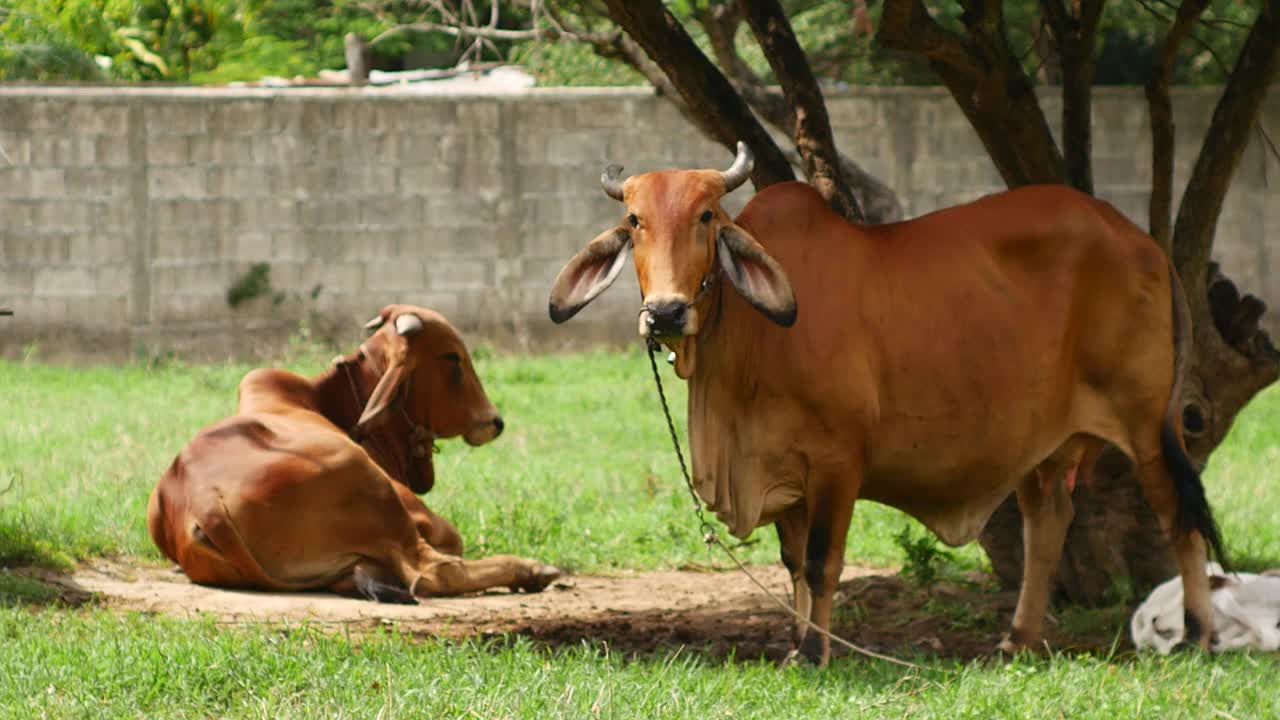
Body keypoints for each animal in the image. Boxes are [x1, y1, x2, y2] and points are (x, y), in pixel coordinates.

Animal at [148, 302, 560, 599]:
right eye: (451, 357)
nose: (495, 421)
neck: (328, 401)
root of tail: (206, 505)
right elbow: (449, 540)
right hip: (370, 485)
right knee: (434, 572)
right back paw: (531, 569)